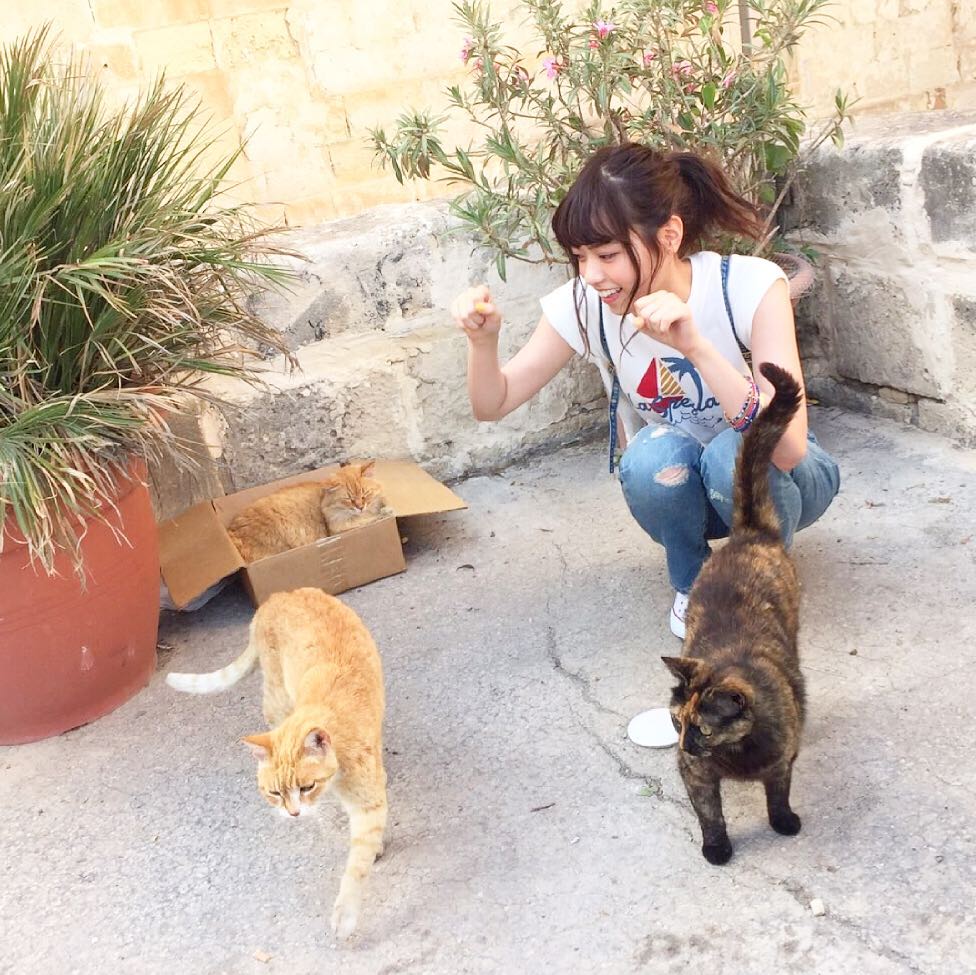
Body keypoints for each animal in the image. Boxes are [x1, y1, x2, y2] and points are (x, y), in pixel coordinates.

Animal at [166, 587, 387, 939]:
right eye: (273, 794)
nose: (293, 814)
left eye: (306, 786)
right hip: (275, 698)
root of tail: (278, 595)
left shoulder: (368, 802)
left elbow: (357, 864)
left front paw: (346, 912)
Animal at [226, 461, 391, 563]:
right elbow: (371, 519)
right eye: (348, 499)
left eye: (365, 494)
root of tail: (232, 532)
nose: (360, 507)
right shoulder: (338, 529)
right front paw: (384, 513)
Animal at [662, 362, 806, 866]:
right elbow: (710, 813)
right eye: (676, 722)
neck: (735, 753)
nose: (684, 746)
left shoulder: (780, 759)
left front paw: (783, 822)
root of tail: (748, 533)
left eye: (702, 729)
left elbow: (778, 792)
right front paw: (716, 848)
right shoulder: (696, 775)